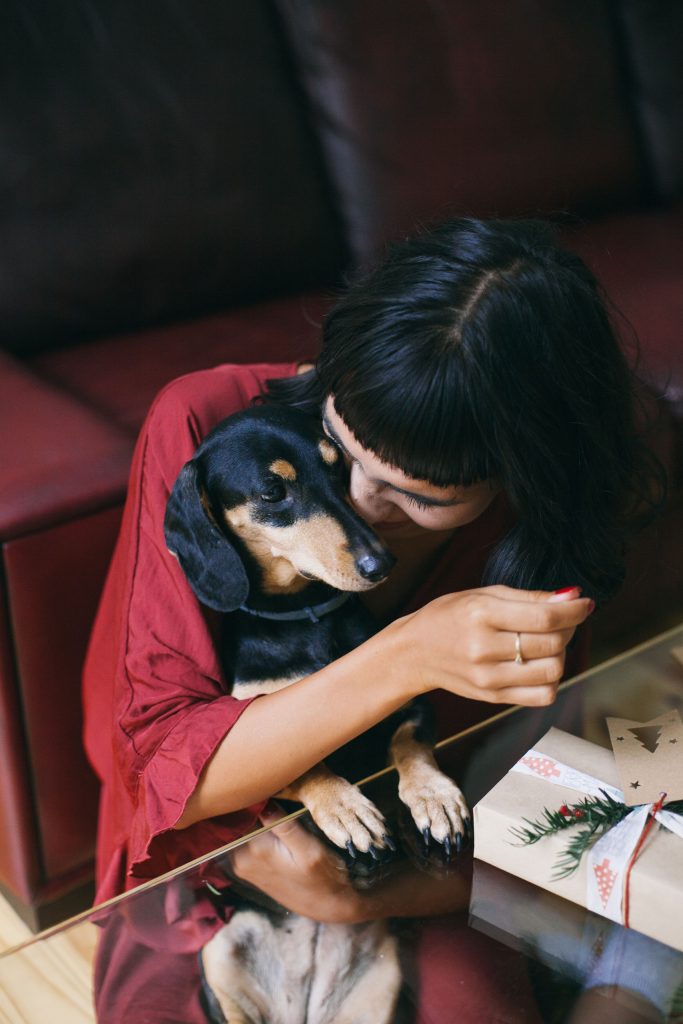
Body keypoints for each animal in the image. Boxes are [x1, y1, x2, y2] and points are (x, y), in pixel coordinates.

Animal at [163, 405, 471, 1024]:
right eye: (272, 491)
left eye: (339, 468)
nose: (382, 562)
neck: (303, 618)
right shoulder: (249, 741)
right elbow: (307, 767)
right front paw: (346, 809)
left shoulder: (411, 699)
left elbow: (408, 744)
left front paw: (431, 797)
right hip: (219, 953)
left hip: (381, 985)